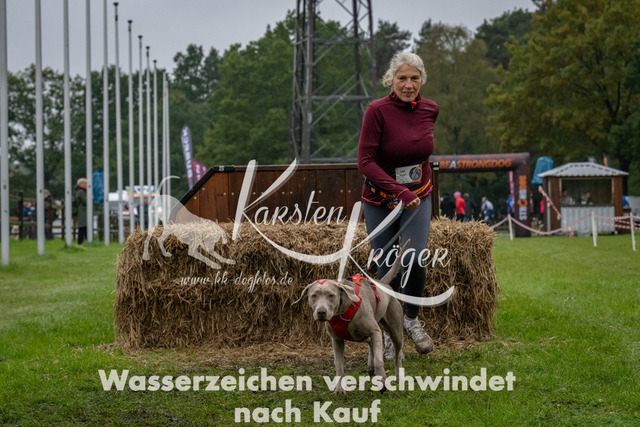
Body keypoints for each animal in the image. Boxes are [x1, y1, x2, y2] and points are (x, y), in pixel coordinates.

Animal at [299, 242, 408, 394]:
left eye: (331, 295)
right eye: (313, 295)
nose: (321, 312)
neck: (342, 312)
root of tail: (384, 284)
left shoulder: (374, 330)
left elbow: (379, 360)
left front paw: (382, 382)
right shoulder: (337, 340)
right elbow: (339, 365)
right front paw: (339, 388)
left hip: (395, 328)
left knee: (397, 354)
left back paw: (397, 376)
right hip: (362, 334)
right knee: (371, 343)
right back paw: (370, 366)